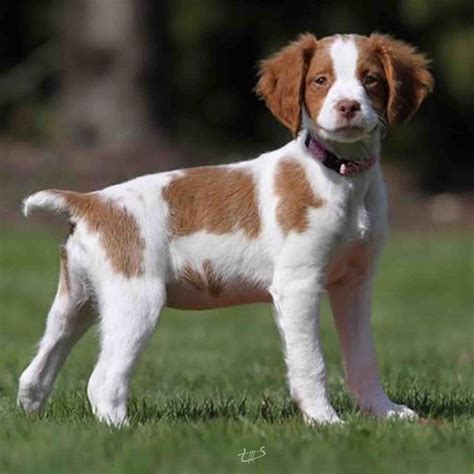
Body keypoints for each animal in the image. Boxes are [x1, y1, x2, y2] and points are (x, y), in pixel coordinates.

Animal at [18, 33, 434, 426]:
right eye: (321, 80)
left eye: (371, 79)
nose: (348, 106)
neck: (338, 174)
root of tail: (91, 201)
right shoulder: (298, 284)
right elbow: (310, 361)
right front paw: (324, 420)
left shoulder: (354, 284)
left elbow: (364, 356)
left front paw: (384, 412)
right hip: (135, 299)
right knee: (102, 381)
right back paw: (125, 430)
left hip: (78, 302)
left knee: (36, 371)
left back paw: (32, 419)